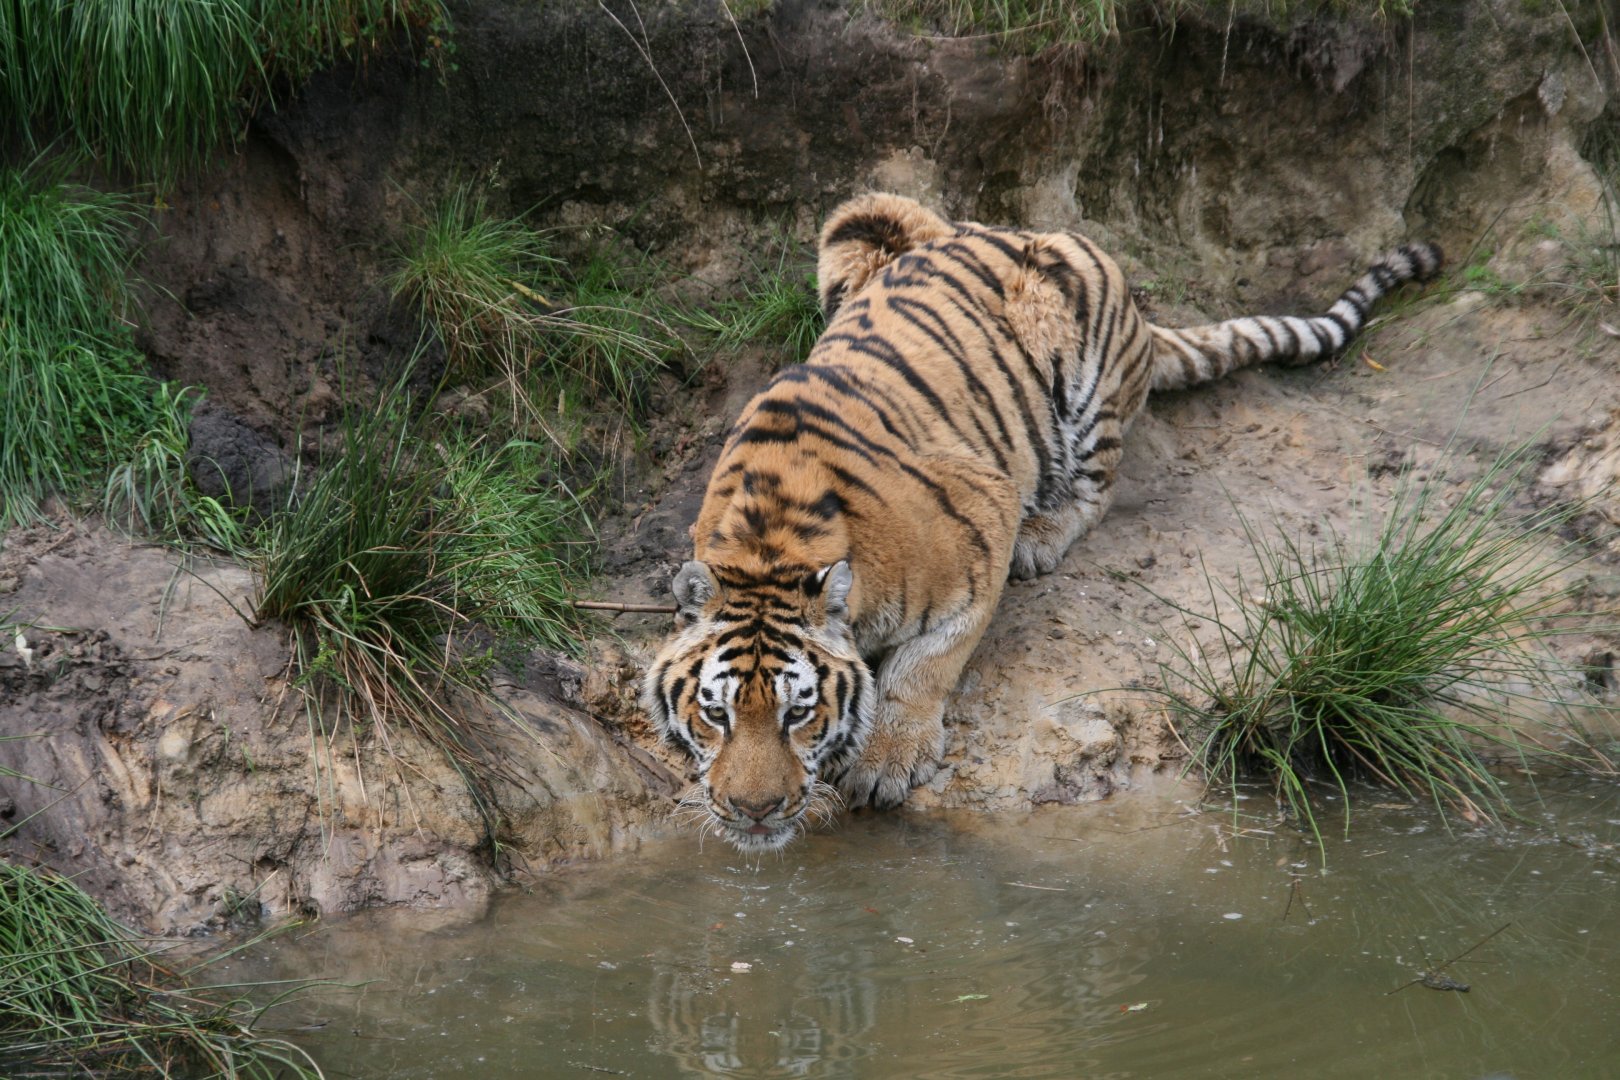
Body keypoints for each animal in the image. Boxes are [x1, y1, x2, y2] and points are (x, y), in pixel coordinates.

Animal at [642, 192, 1441, 852]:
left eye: (797, 714)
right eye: (716, 716)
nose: (753, 812)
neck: (768, 546)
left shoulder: (981, 524)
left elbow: (927, 664)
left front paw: (886, 760)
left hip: (1080, 375)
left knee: (1099, 487)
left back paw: (1044, 538)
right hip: (857, 218)